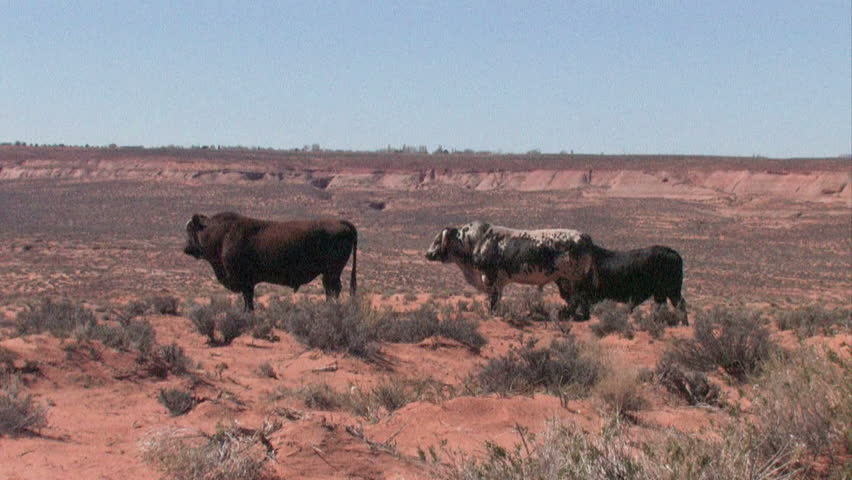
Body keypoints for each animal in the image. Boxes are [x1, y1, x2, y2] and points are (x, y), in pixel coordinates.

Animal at [183, 212, 357, 311]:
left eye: (190, 230)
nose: (186, 248)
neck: (222, 234)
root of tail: (343, 223)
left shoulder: (245, 281)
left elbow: (248, 298)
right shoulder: (248, 282)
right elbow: (248, 298)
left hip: (331, 272)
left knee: (333, 289)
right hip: (329, 274)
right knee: (331, 289)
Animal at [425, 221, 593, 312]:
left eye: (438, 240)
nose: (427, 253)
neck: (475, 241)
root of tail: (584, 237)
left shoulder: (490, 278)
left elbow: (493, 300)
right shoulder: (499, 282)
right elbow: (497, 299)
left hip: (575, 279)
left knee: (579, 299)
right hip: (563, 280)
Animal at [556, 243, 688, 324]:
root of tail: (674, 254)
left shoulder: (579, 294)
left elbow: (576, 306)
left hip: (671, 290)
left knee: (678, 304)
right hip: (663, 292)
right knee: (664, 305)